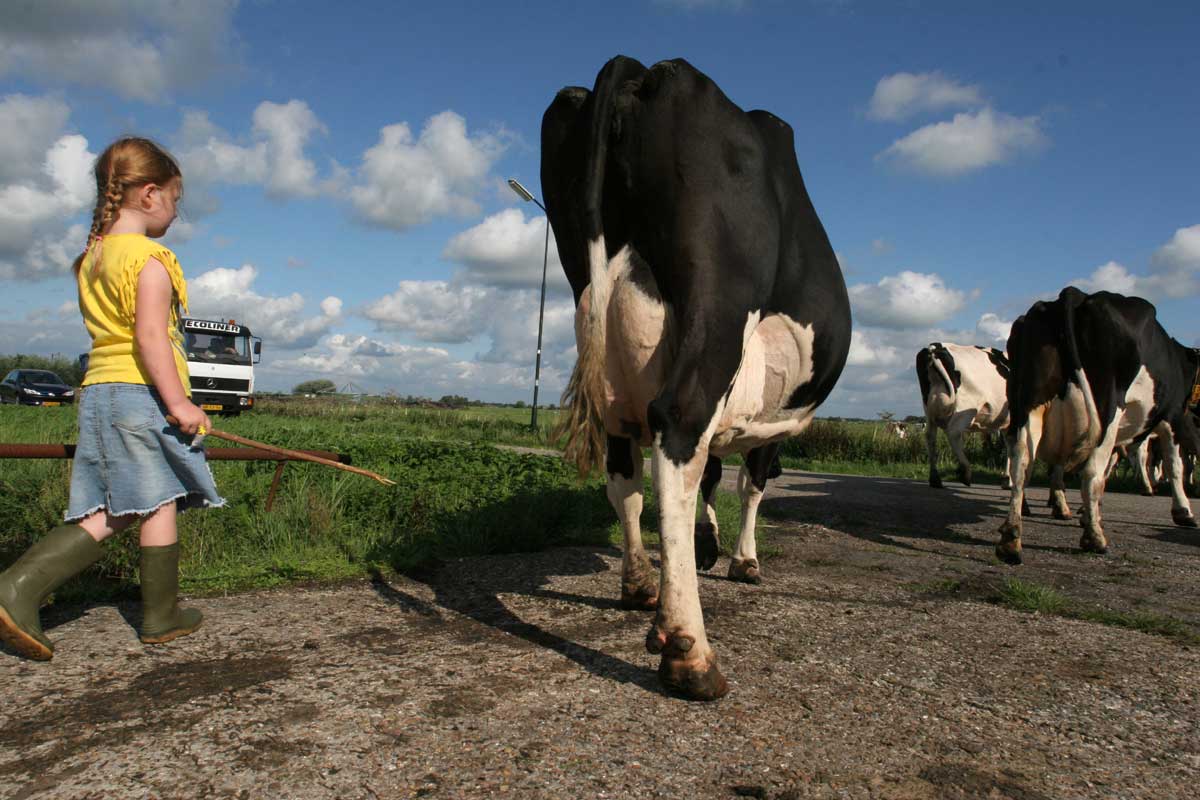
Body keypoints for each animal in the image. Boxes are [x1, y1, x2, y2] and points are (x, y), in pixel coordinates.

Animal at [540, 54, 849, 700]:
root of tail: (647, 69)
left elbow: (709, 479)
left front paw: (709, 546)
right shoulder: (769, 426)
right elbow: (749, 484)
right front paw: (743, 561)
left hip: (600, 322)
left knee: (625, 470)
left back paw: (639, 585)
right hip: (717, 303)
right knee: (678, 427)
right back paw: (689, 651)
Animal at [916, 343, 1012, 489]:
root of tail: (935, 348)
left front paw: (1007, 479)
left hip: (929, 410)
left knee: (930, 436)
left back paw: (935, 479)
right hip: (966, 407)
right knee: (953, 432)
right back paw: (965, 473)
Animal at [993, 286, 1200, 563]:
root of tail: (1073, 294)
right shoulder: (1172, 417)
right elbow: (1174, 466)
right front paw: (1183, 512)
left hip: (1027, 405)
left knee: (1021, 466)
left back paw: (1011, 540)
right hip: (1108, 408)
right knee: (1091, 472)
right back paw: (1094, 538)